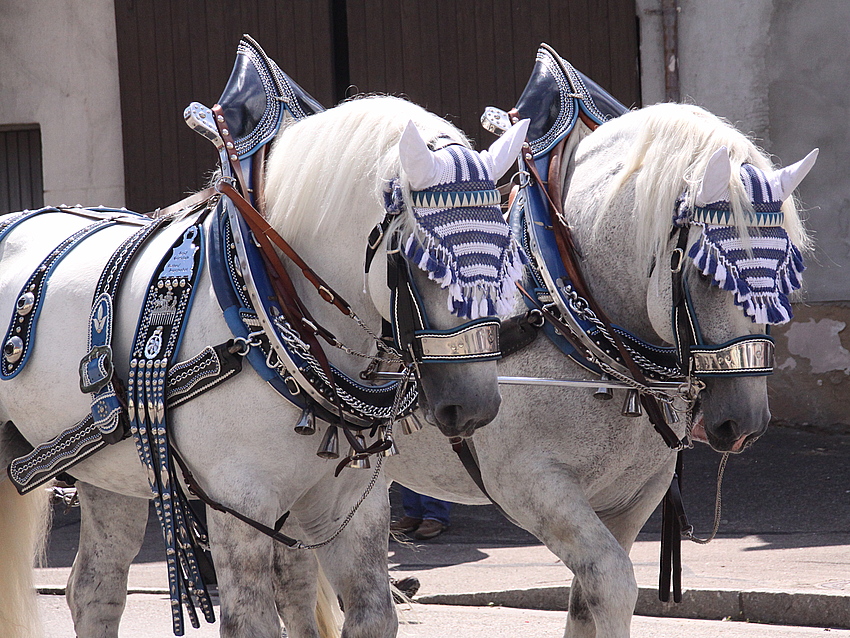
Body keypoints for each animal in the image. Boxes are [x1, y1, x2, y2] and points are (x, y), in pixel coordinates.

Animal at [0, 96, 528, 638]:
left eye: (507, 255)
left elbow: (369, 613)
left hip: (110, 467)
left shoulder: (348, 505)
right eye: (422, 262)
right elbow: (251, 621)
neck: (265, 301)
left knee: (95, 589)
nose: (474, 407)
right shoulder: (239, 501)